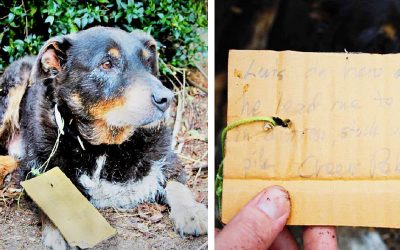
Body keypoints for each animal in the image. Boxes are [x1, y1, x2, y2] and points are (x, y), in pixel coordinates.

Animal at [0, 26, 208, 249]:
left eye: (147, 63)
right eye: (106, 64)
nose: (167, 98)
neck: (105, 147)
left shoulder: (169, 159)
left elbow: (177, 185)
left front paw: (192, 212)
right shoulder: (37, 169)